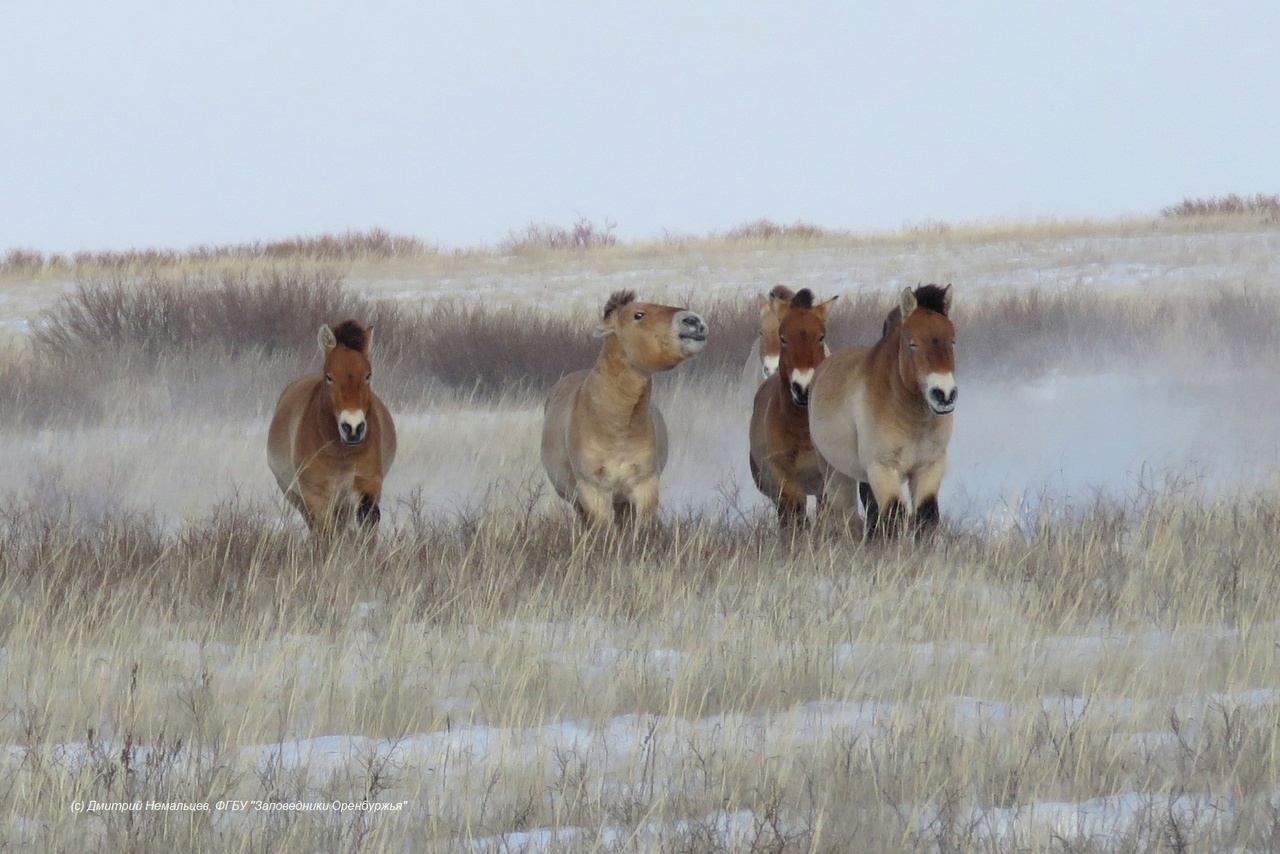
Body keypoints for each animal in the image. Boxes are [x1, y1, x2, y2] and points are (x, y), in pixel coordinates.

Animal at [266, 318, 394, 535]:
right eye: (329, 376)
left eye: (368, 375)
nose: (353, 428)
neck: (339, 453)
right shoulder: (314, 494)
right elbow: (325, 532)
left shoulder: (368, 484)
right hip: (295, 495)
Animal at [747, 286, 839, 527]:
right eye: (784, 338)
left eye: (821, 336)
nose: (802, 388)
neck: (803, 433)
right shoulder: (785, 482)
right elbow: (796, 518)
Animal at [803, 286, 957, 540]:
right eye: (912, 343)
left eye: (952, 340)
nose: (943, 394)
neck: (912, 418)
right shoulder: (883, 469)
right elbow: (894, 518)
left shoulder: (929, 468)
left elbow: (926, 518)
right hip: (837, 473)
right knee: (847, 518)